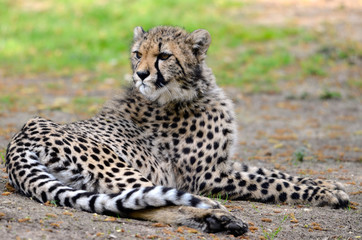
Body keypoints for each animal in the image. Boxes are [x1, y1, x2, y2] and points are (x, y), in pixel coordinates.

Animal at [5, 26, 350, 236]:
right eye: (137, 54)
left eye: (164, 55)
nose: (141, 74)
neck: (193, 90)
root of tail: (17, 141)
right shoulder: (207, 177)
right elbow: (270, 183)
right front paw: (324, 194)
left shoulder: (222, 163)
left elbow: (273, 172)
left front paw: (328, 184)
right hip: (122, 168)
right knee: (152, 201)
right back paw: (219, 215)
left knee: (133, 207)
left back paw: (214, 220)